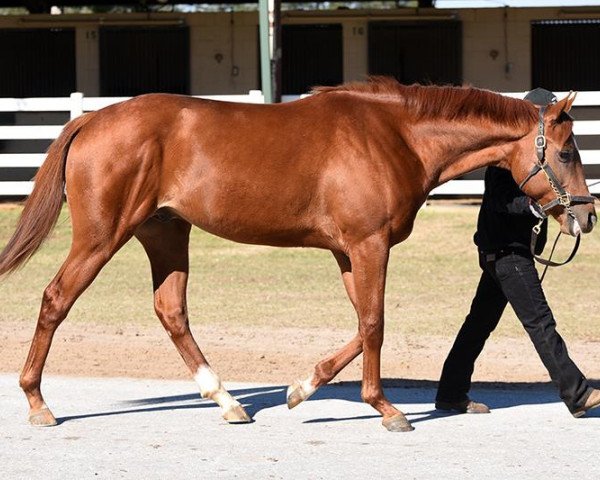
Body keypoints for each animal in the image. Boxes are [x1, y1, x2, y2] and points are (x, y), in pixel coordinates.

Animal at [0, 78, 592, 432]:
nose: (585, 217)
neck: (396, 136)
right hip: (102, 236)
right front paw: (386, 409)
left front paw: (300, 389)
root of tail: (92, 120)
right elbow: (374, 323)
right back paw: (38, 404)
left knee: (171, 312)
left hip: (165, 233)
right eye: (566, 152)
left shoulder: (350, 252)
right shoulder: (368, 244)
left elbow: (363, 323)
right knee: (55, 299)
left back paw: (228, 402)